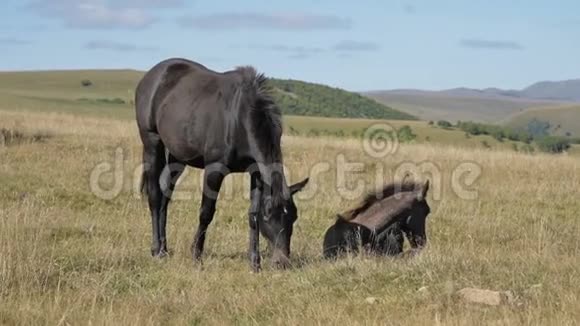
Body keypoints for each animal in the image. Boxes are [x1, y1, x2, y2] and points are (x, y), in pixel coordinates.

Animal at [136, 57, 310, 272]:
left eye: (293, 216)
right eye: (269, 216)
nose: (282, 262)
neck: (239, 118)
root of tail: (151, 76)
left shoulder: (256, 172)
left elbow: (252, 214)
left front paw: (255, 263)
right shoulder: (214, 169)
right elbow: (206, 213)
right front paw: (196, 256)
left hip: (177, 156)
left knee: (164, 196)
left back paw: (164, 248)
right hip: (152, 143)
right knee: (154, 196)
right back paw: (156, 250)